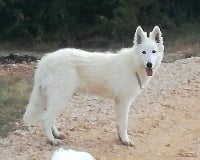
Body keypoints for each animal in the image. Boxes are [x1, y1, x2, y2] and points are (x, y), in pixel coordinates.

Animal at [23, 26, 164, 146]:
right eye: (144, 52)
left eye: (153, 52)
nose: (149, 64)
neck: (133, 64)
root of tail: (45, 60)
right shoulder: (124, 102)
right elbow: (123, 124)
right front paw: (125, 140)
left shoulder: (119, 102)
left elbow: (119, 123)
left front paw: (121, 138)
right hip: (61, 98)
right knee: (45, 119)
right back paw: (52, 140)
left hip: (56, 99)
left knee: (49, 118)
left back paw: (56, 135)